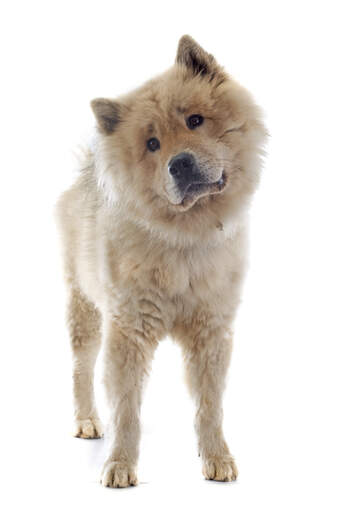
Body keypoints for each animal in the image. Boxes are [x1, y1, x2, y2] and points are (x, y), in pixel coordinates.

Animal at [55, 35, 266, 488]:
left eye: (195, 121)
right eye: (152, 145)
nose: (179, 163)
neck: (185, 239)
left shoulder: (211, 330)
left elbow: (209, 406)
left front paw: (216, 458)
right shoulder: (129, 328)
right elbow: (126, 410)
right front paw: (119, 464)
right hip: (85, 307)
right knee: (82, 369)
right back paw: (87, 421)